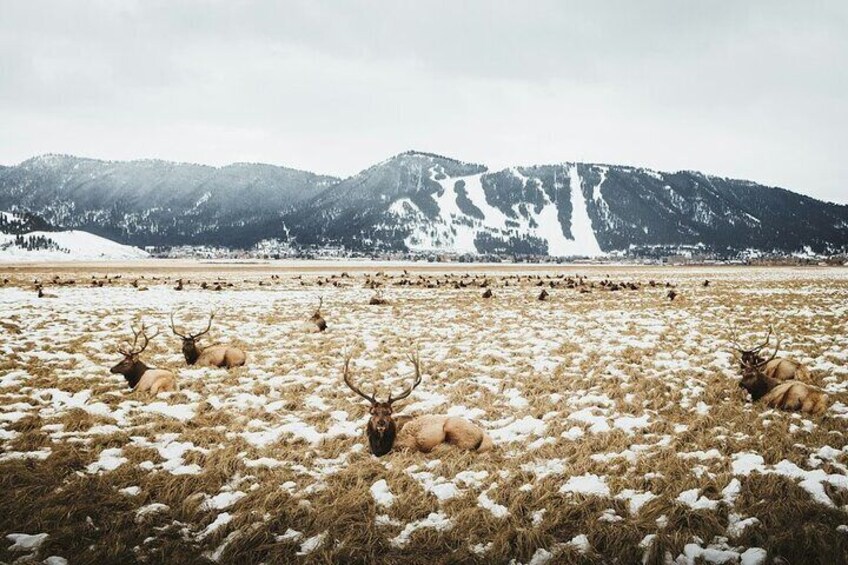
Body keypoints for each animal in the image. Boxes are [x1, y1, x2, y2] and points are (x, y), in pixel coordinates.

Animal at [342, 350, 494, 456]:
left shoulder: (408, 444)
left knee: (462, 448)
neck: (380, 447)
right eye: (373, 412)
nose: (381, 423)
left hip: (454, 429)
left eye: (389, 412)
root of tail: (484, 435)